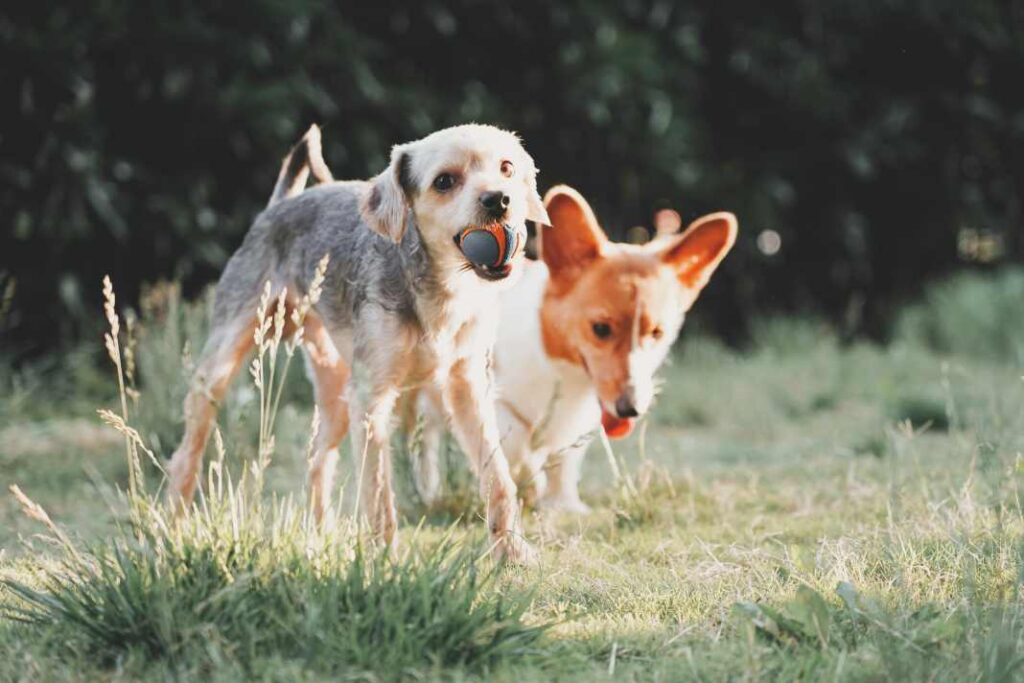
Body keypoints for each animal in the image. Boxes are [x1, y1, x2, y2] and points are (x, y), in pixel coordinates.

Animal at [165, 122, 552, 561]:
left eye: (506, 168)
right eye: (444, 181)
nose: (499, 199)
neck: (438, 286)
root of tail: (281, 203)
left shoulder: (467, 388)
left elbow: (498, 476)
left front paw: (511, 550)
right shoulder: (372, 399)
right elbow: (379, 494)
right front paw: (385, 561)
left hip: (336, 393)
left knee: (317, 459)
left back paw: (319, 537)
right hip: (221, 371)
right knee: (187, 454)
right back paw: (171, 529)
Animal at [411, 184, 741, 509]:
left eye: (657, 332)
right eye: (601, 329)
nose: (631, 410)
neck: (561, 368)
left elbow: (564, 462)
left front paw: (564, 503)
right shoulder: (493, 402)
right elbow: (517, 446)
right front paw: (533, 483)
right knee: (424, 441)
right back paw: (427, 491)